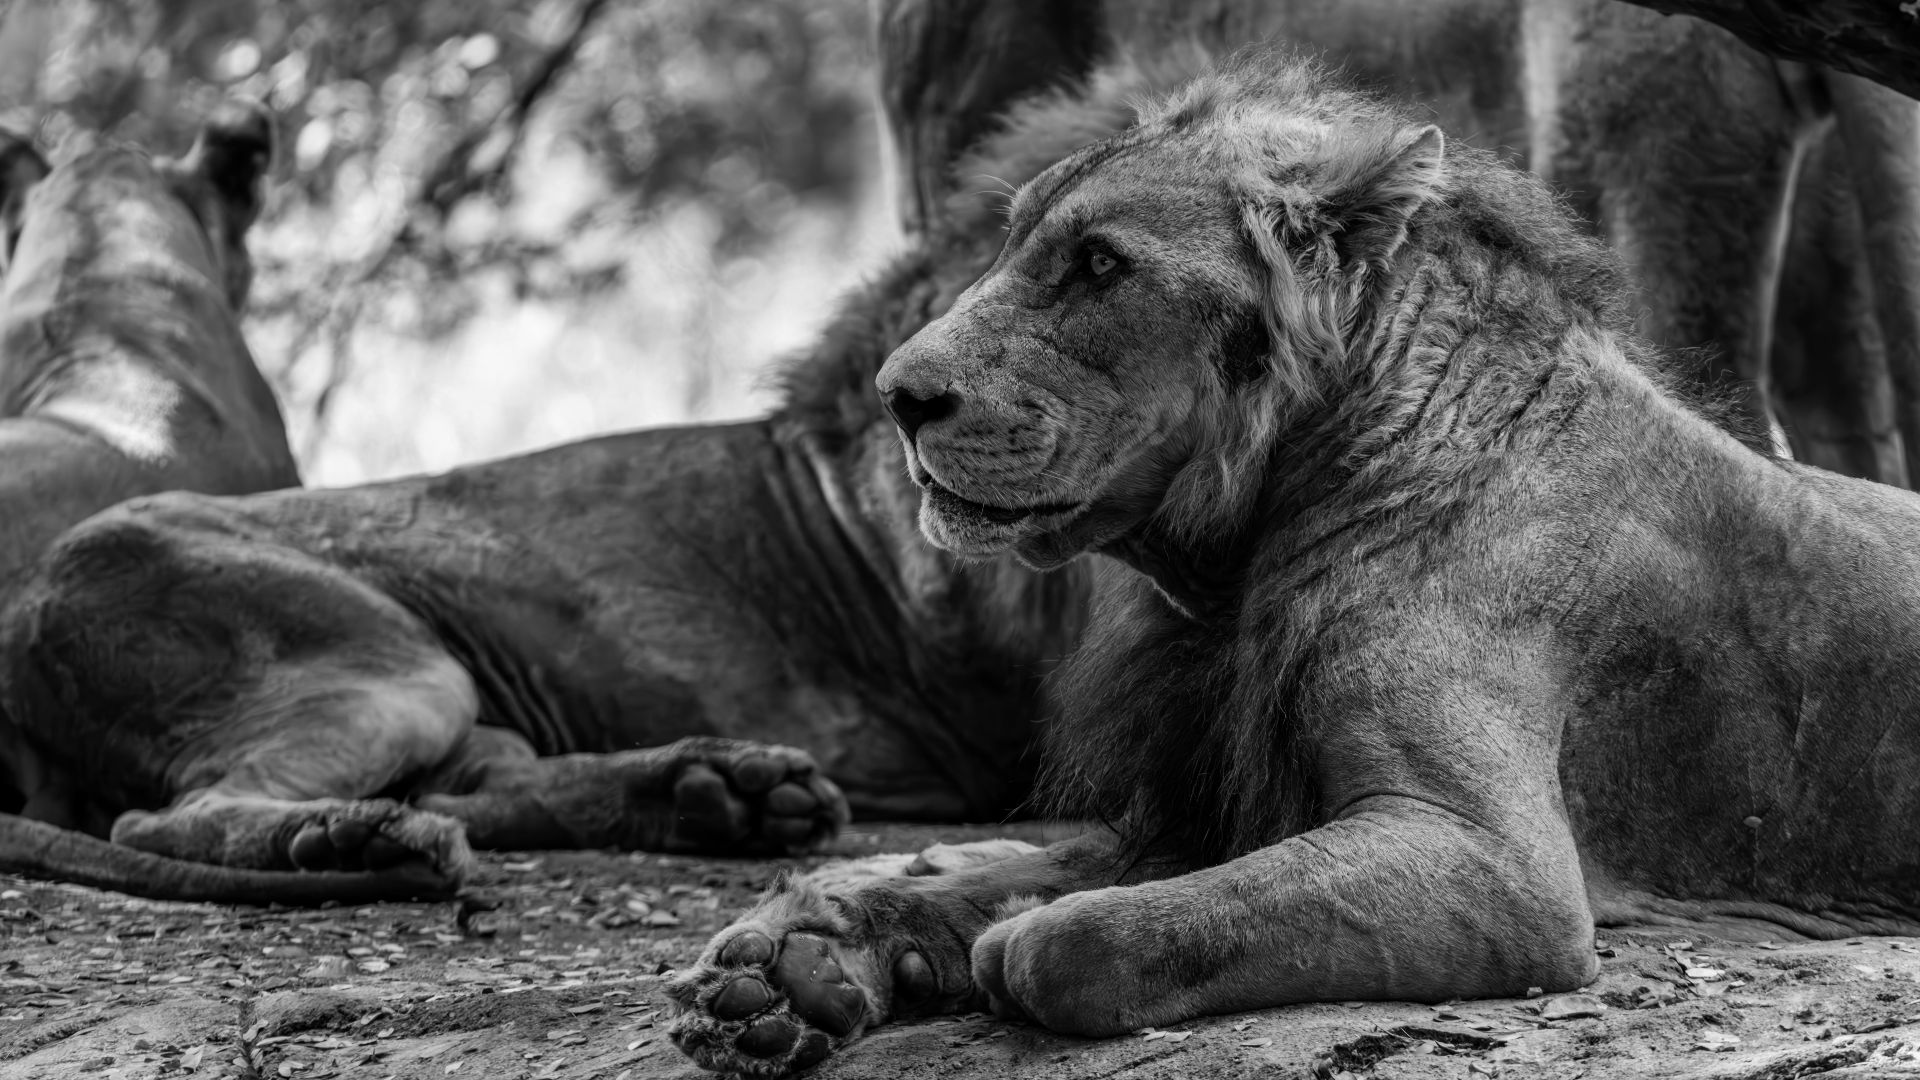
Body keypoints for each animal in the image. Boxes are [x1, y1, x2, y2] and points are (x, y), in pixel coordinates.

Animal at [664, 49, 1920, 1075]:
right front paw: (794, 966)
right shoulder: (1199, 801)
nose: (898, 397)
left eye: (1101, 266)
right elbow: (1020, 878)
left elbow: (1082, 933)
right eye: (1017, 244)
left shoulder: (1500, 868)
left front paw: (978, 947)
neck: (1231, 566)